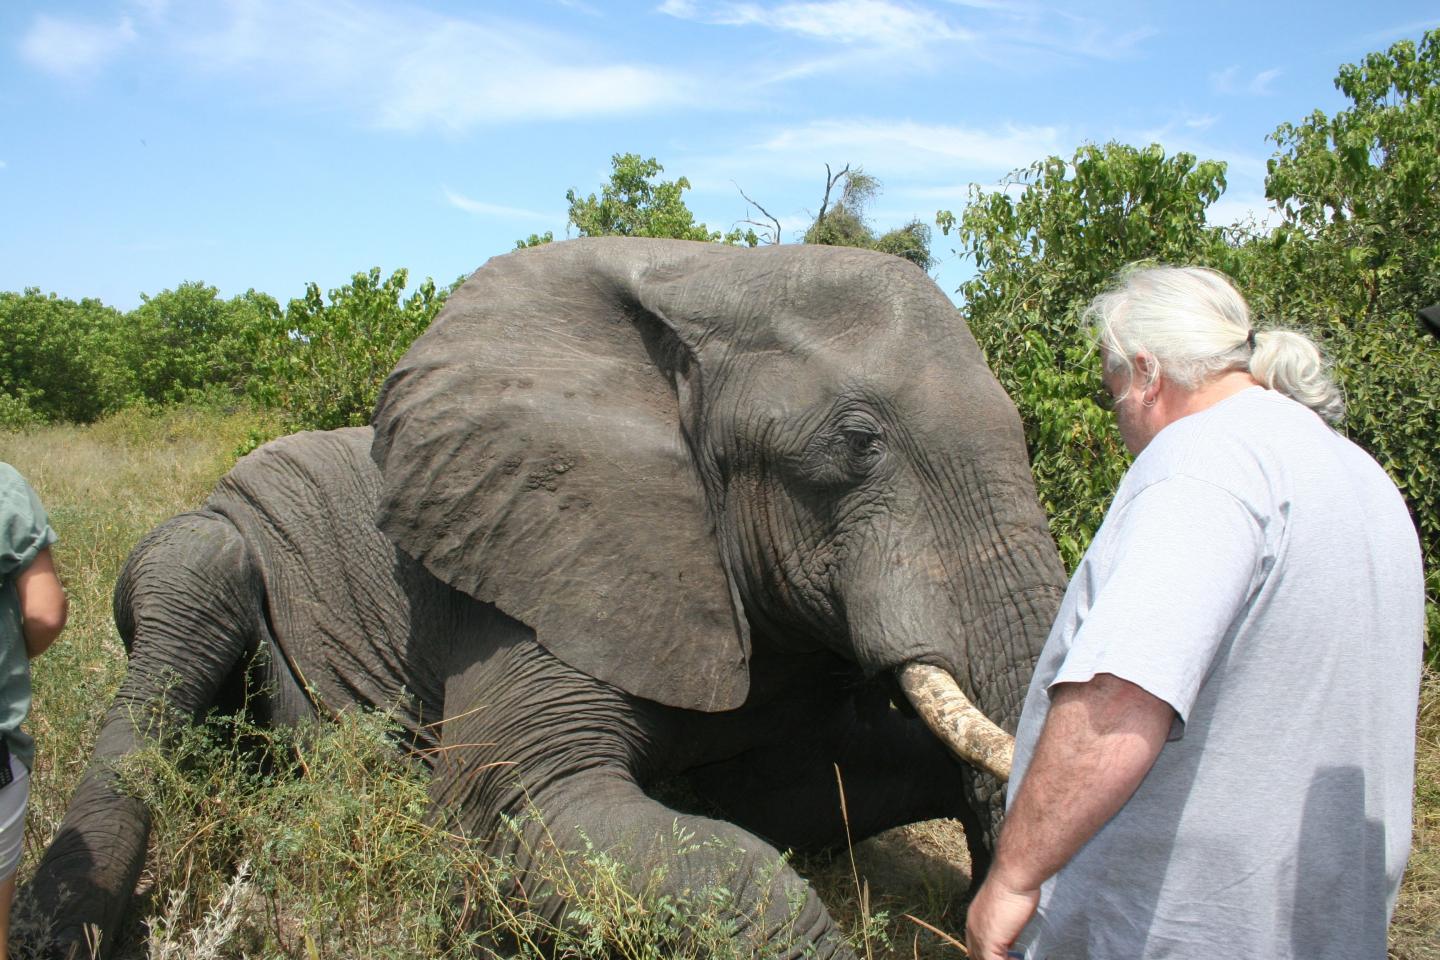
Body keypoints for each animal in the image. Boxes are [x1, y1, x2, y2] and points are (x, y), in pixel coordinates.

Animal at [16, 236, 1065, 955]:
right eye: (858, 444)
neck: (706, 287)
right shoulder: (531, 573)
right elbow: (514, 807)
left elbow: (800, 791)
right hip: (213, 541)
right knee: (196, 592)